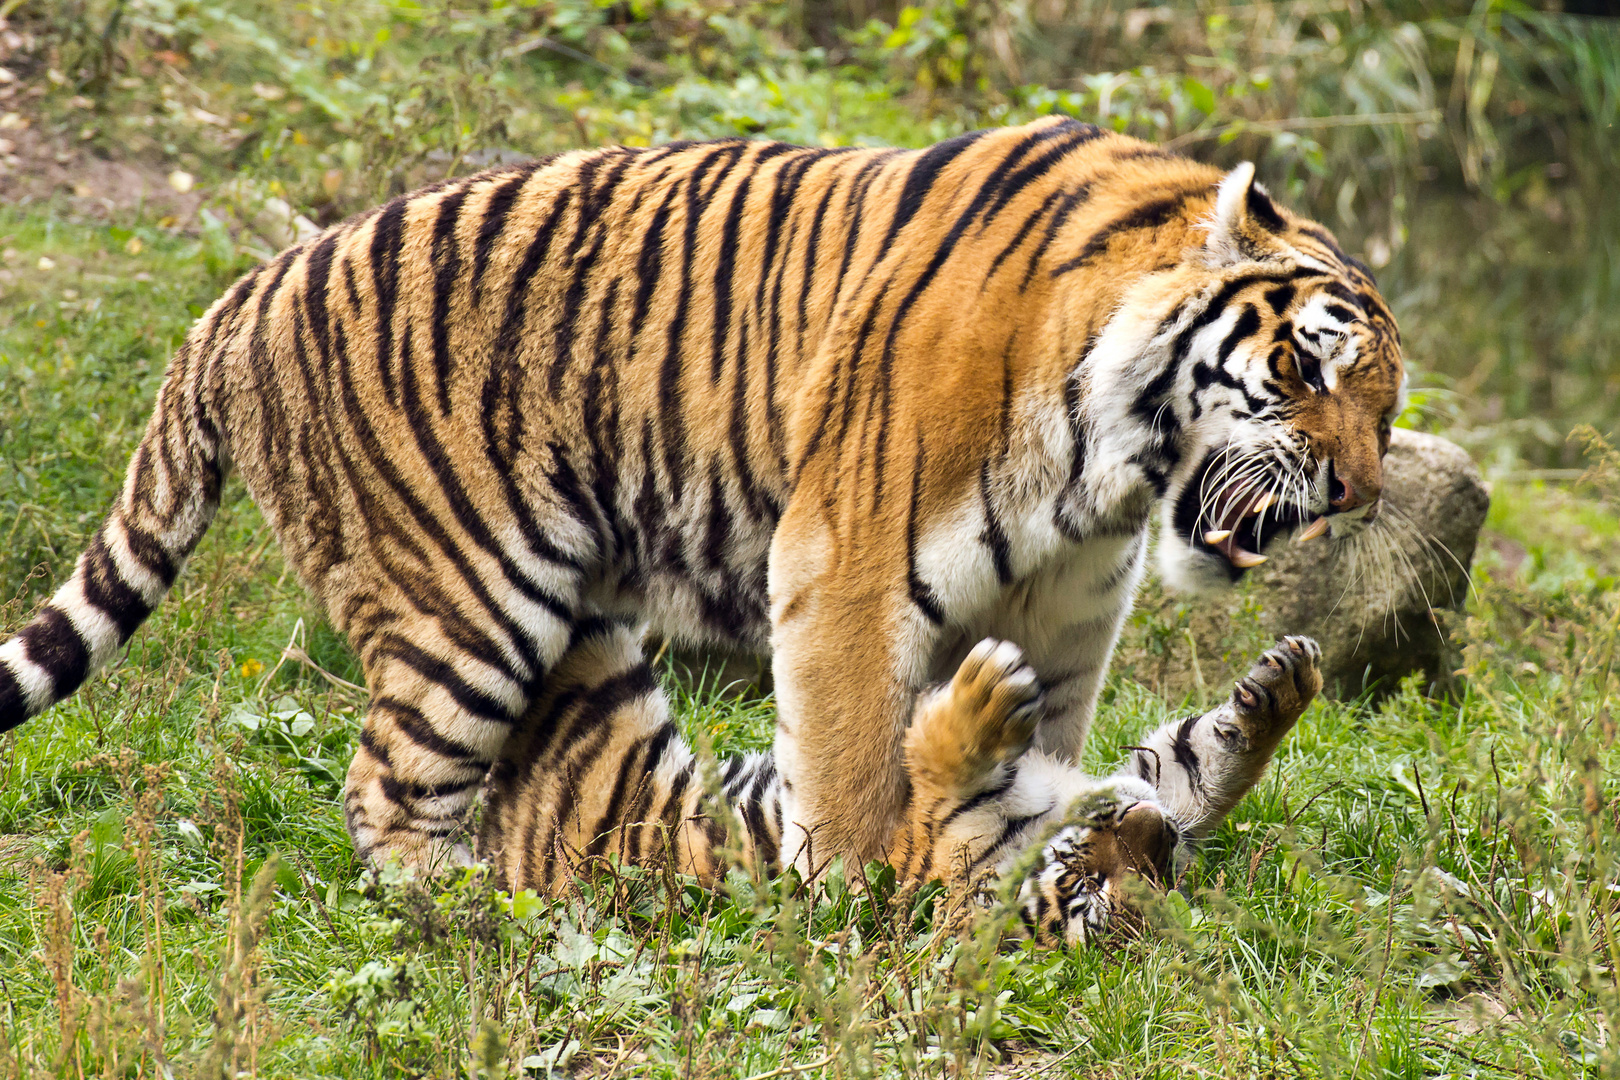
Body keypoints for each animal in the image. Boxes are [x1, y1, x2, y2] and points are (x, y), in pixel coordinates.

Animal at [0, 116, 1399, 906]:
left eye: (1389, 412)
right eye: (1306, 369)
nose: (1362, 490)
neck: (1113, 466)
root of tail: (242, 293)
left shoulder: (1065, 610)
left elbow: (1072, 757)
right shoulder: (845, 563)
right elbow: (868, 783)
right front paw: (851, 897)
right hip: (470, 610)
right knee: (388, 788)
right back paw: (456, 904)